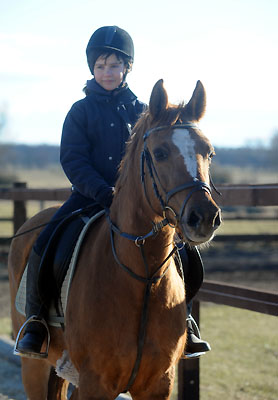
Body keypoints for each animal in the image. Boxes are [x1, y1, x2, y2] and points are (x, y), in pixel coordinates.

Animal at [8, 79, 222, 398]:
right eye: (160, 153)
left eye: (209, 152)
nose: (204, 217)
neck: (143, 276)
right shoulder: (96, 383)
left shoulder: (158, 384)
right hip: (35, 368)